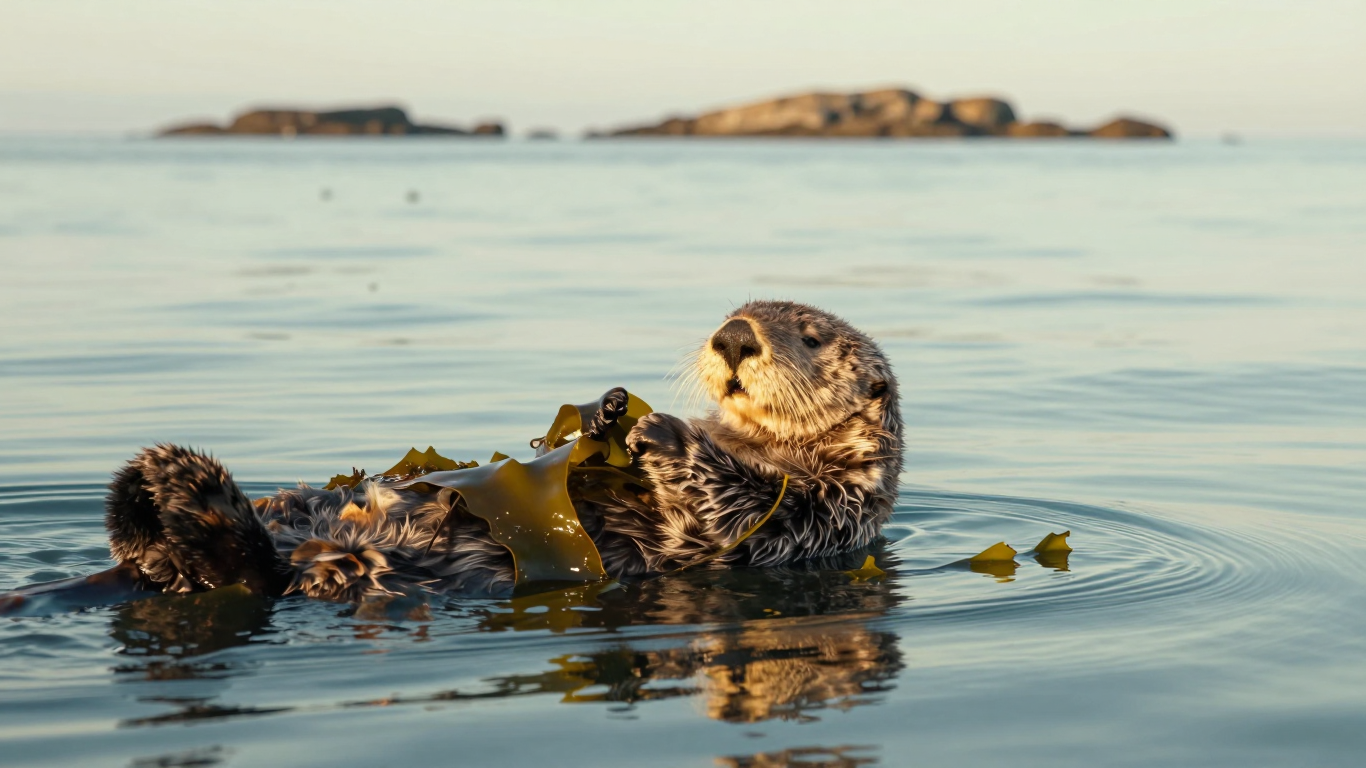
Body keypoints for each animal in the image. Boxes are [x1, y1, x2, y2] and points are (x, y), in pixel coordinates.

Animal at [27, 301, 903, 605]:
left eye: (810, 336)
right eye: (732, 311)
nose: (733, 336)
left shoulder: (825, 515)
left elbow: (737, 508)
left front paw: (659, 434)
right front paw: (609, 409)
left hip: (339, 567)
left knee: (247, 572)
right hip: (304, 503)